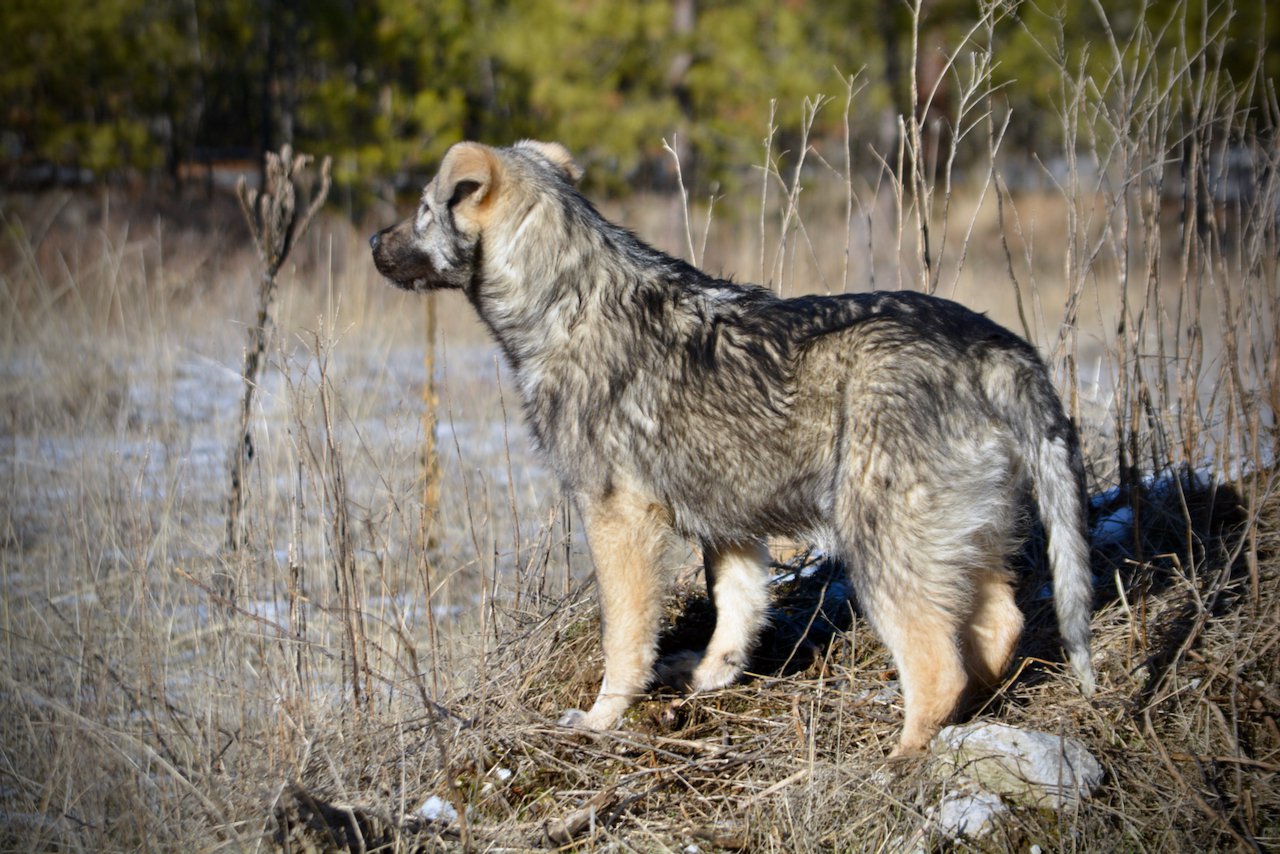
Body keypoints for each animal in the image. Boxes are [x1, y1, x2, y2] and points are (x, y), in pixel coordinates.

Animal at [368, 138, 1090, 752]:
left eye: (424, 210)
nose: (374, 240)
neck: (567, 295)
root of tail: (994, 350)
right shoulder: (732, 526)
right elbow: (737, 614)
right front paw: (709, 678)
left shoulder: (617, 520)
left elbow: (624, 639)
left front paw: (603, 718)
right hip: (960, 538)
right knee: (998, 627)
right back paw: (971, 713)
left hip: (882, 544)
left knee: (939, 666)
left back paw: (901, 761)